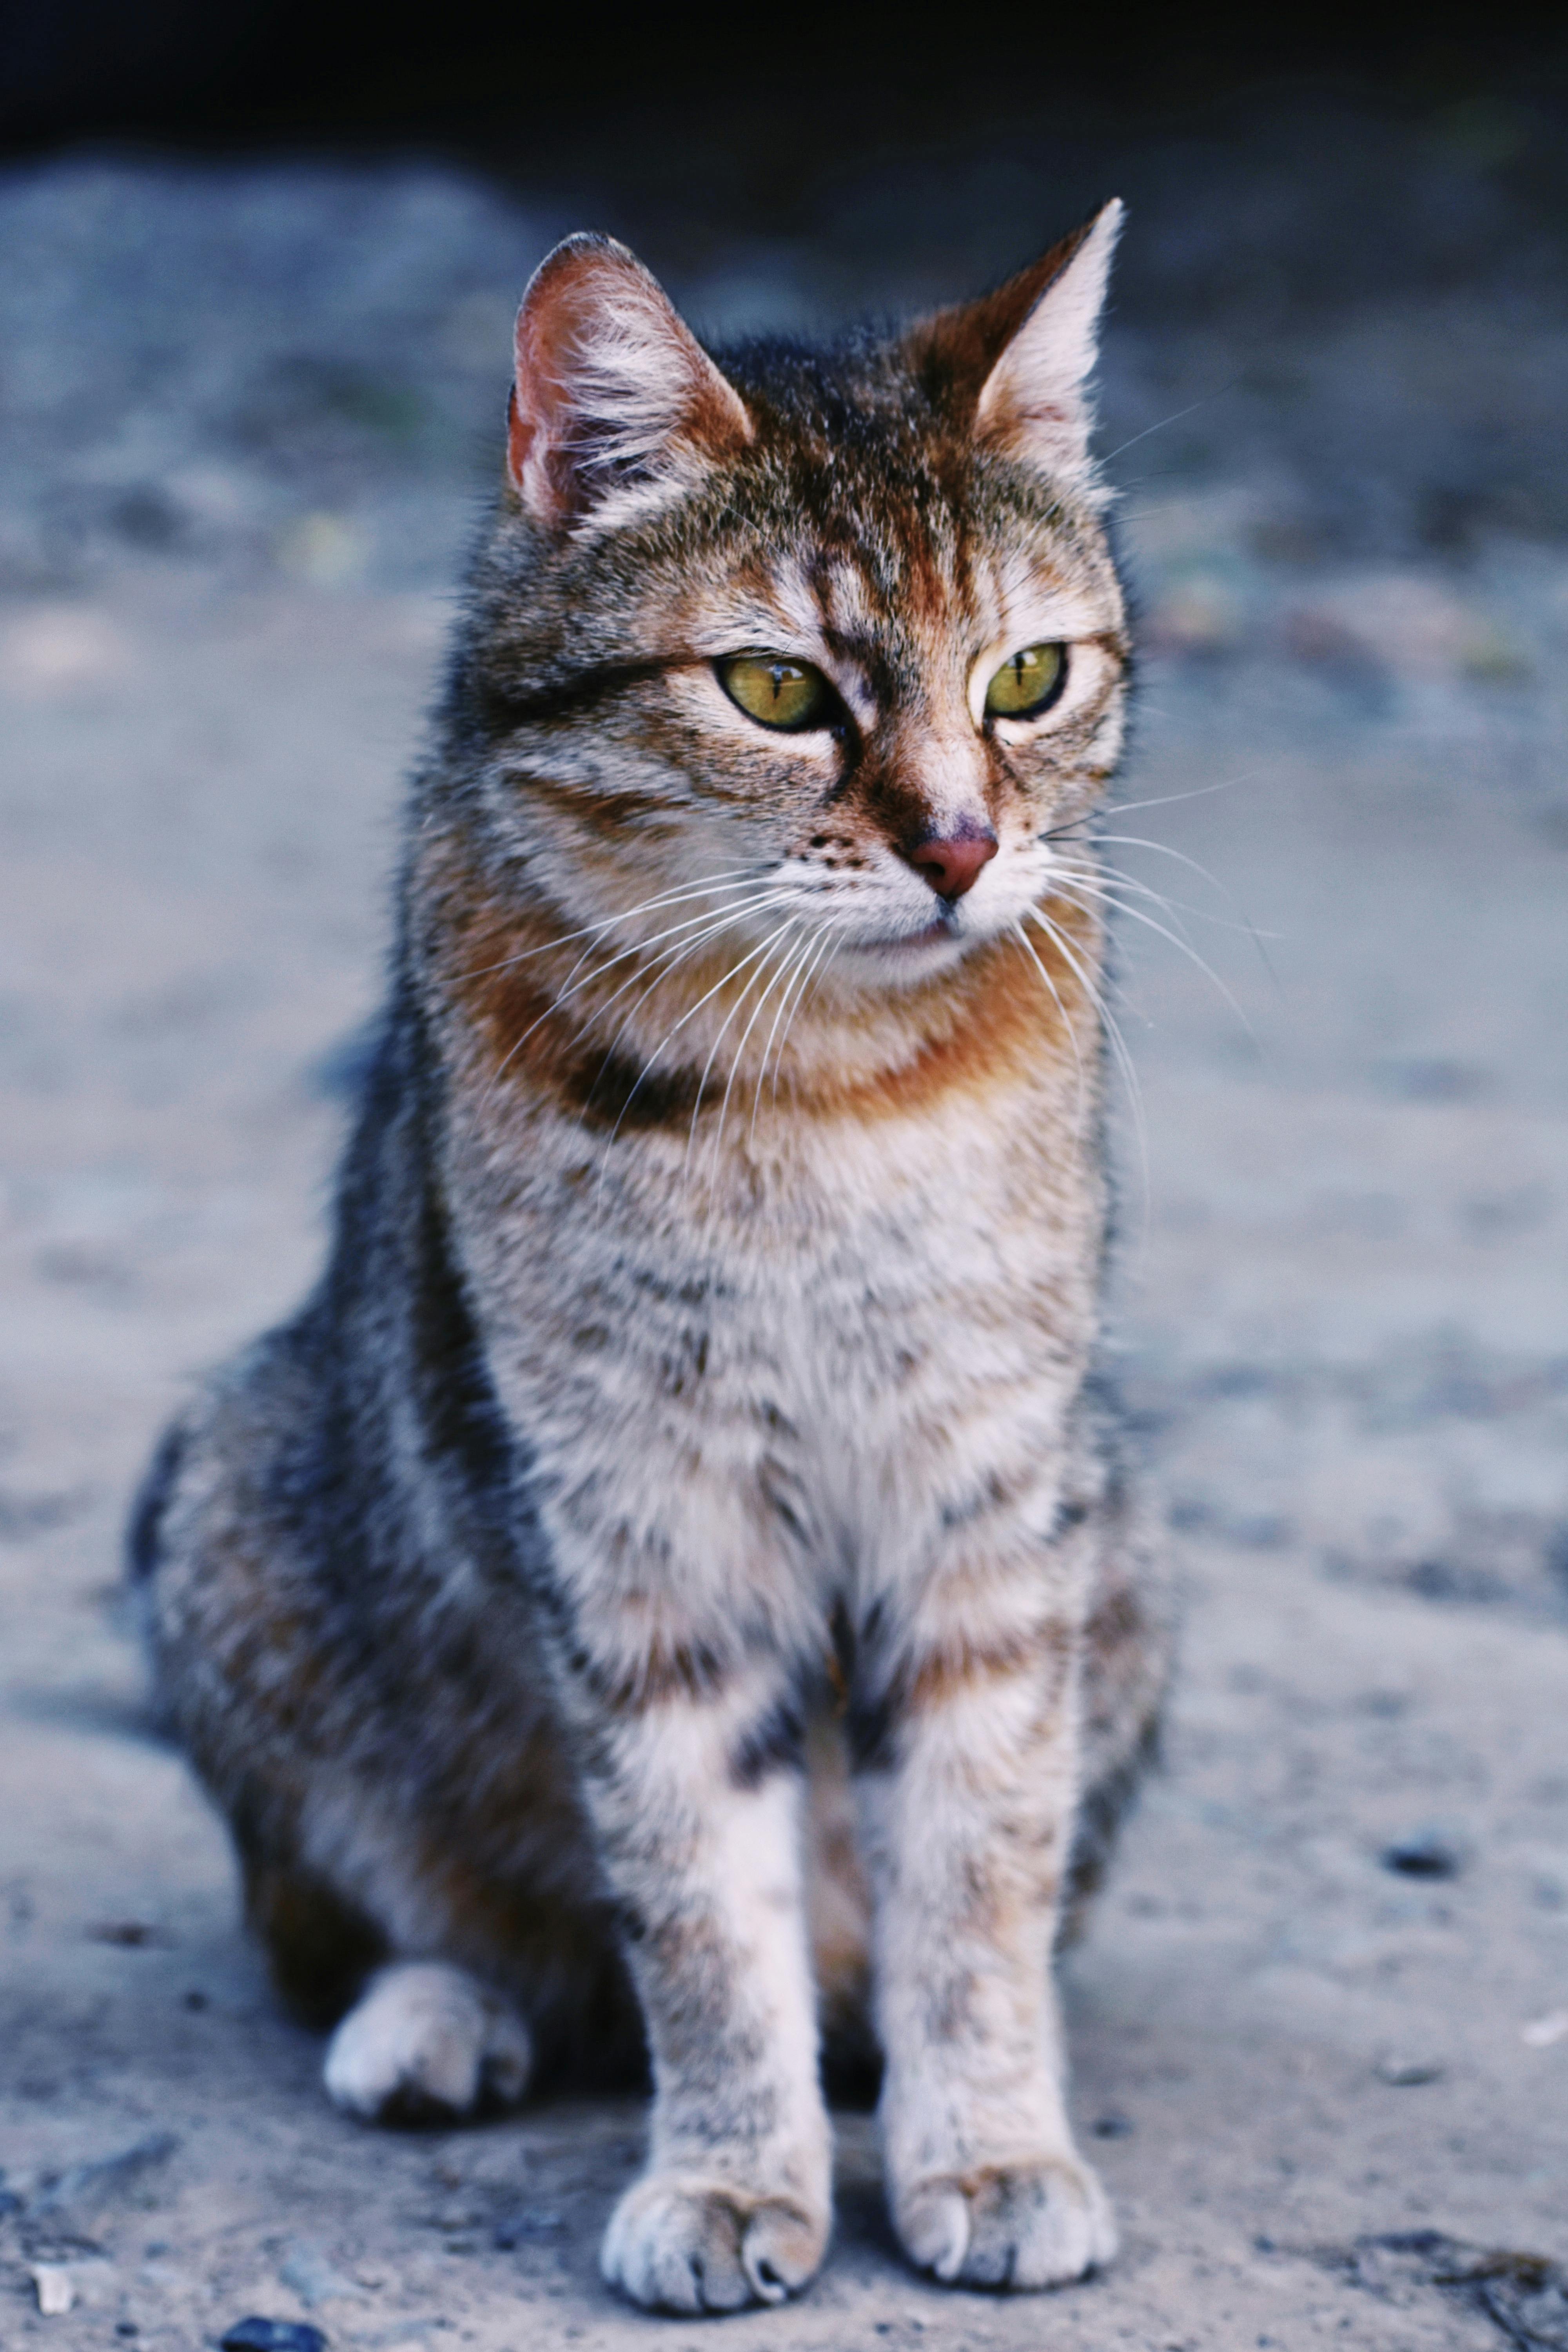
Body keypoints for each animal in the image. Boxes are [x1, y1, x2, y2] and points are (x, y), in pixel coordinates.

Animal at [131, 207, 1166, 2314]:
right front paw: (729, 2172)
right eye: (774, 691)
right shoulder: (641, 1524)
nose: (960, 845)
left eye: (1027, 676)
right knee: (395, 1926)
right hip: (235, 1499)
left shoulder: (992, 1506)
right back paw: (437, 2015)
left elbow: (978, 1874)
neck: (833, 1089)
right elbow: (693, 1903)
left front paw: (986, 2140)